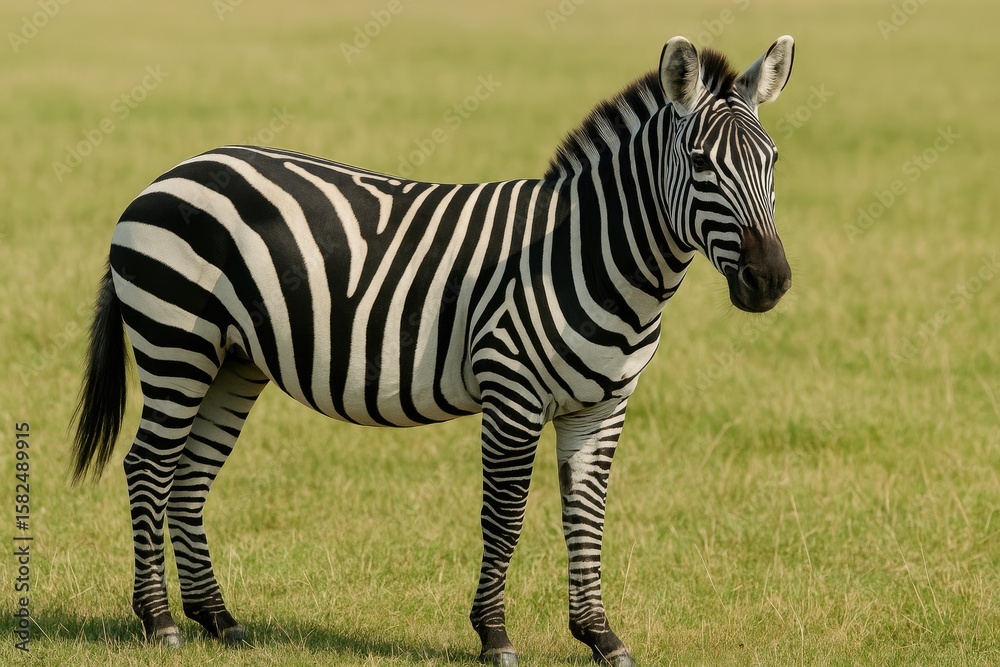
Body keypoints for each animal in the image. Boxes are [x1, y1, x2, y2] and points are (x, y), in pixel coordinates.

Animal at [72, 35, 794, 666]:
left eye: (773, 161)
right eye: (701, 164)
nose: (770, 281)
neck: (587, 253)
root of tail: (169, 175)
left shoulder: (602, 408)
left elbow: (587, 518)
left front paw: (600, 635)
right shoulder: (512, 394)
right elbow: (504, 517)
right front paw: (495, 635)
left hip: (232, 361)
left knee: (190, 476)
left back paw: (217, 617)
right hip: (177, 341)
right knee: (148, 466)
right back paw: (159, 621)